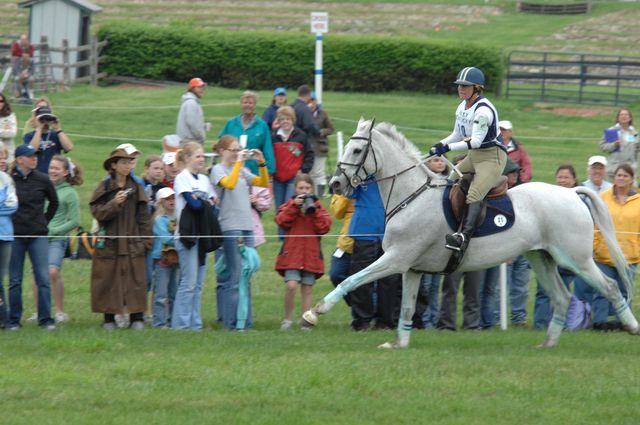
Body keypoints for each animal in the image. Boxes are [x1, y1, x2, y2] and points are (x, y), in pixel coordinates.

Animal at [302, 118, 640, 348]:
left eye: (358, 149)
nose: (336, 184)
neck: (411, 195)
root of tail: (571, 193)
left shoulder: (396, 260)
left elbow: (351, 279)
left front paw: (314, 313)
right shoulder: (412, 269)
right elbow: (408, 306)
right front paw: (399, 343)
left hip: (576, 259)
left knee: (610, 287)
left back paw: (632, 327)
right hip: (542, 257)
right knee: (561, 296)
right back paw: (547, 343)